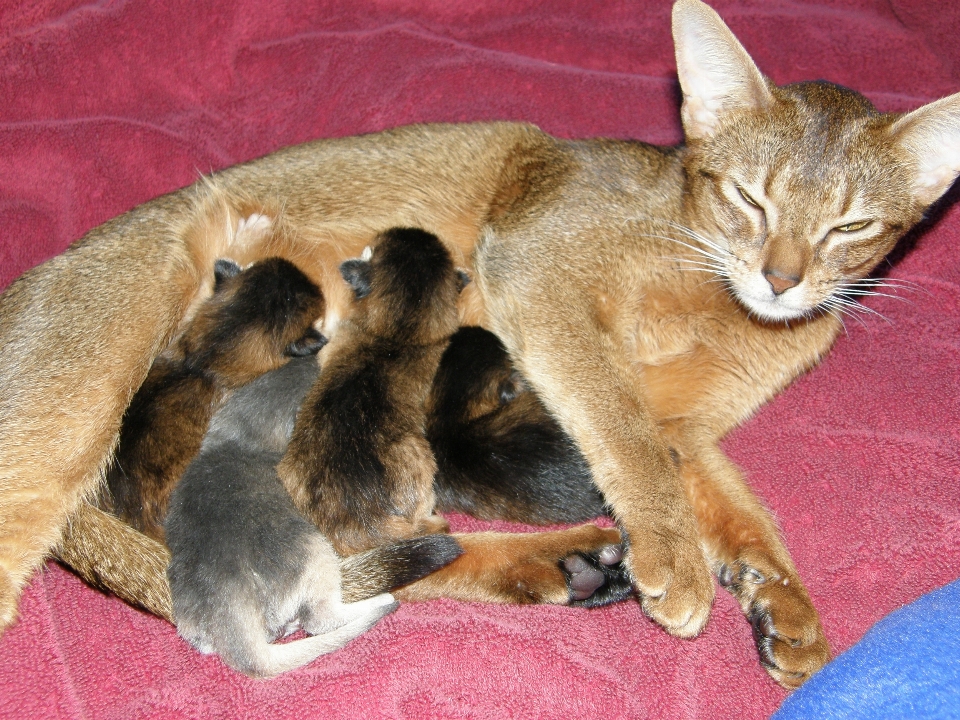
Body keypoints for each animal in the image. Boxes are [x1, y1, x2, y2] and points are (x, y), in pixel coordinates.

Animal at [1, 0, 960, 688]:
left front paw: (781, 603)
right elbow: (626, 438)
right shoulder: (539, 276)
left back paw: (565, 562)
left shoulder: (684, 425)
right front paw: (679, 566)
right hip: (67, 418)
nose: (782, 278)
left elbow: (734, 503)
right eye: (750, 199)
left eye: (851, 227)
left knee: (367, 555)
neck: (717, 292)